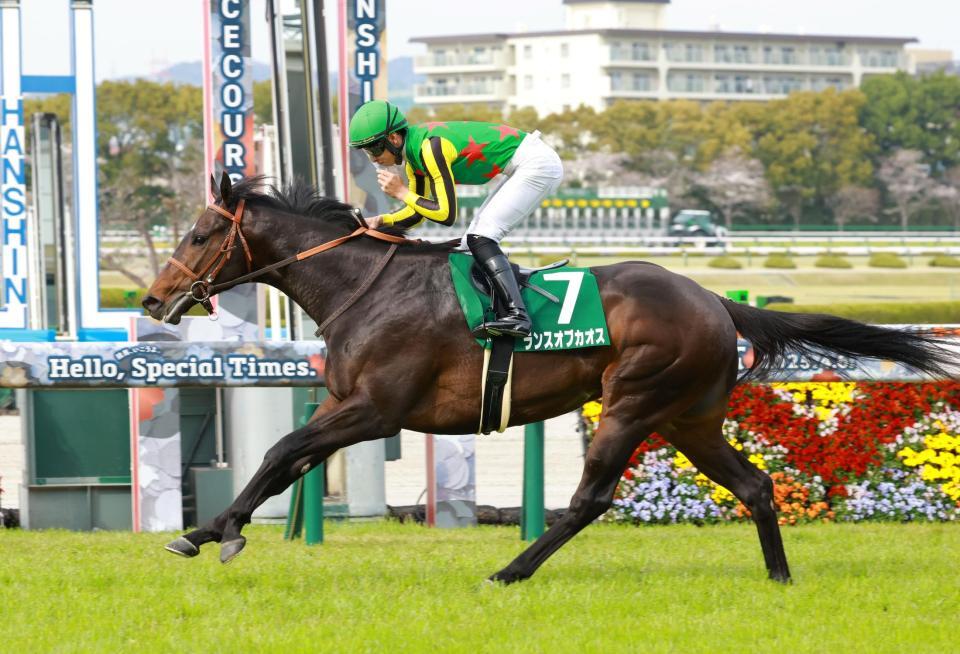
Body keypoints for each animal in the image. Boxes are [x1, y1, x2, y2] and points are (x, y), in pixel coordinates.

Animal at [142, 174, 955, 584]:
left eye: (201, 234)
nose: (153, 299)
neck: (364, 286)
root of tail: (714, 298)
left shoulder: (376, 408)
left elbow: (283, 453)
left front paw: (218, 533)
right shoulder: (346, 402)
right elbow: (284, 461)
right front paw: (208, 529)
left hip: (634, 403)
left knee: (590, 499)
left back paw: (509, 572)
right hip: (688, 417)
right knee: (755, 485)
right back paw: (780, 579)